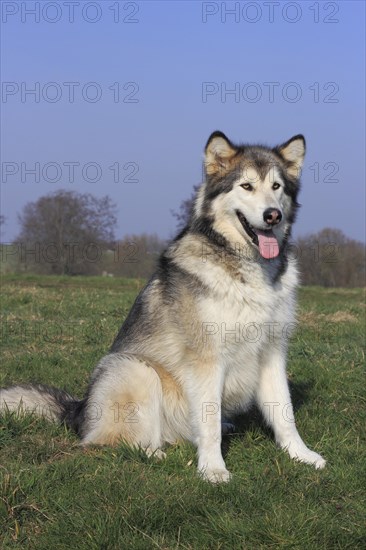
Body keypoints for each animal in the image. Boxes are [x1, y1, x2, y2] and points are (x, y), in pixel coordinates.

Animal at [0, 133, 326, 484]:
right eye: (246, 186)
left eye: (277, 186)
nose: (272, 215)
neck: (248, 269)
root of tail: (78, 410)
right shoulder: (206, 359)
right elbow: (209, 422)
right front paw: (213, 469)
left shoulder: (272, 352)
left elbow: (284, 413)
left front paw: (301, 455)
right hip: (134, 370)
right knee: (106, 443)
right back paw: (153, 452)